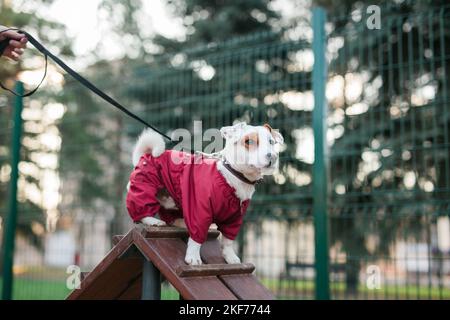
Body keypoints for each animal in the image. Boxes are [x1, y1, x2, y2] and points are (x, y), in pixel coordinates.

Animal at [125, 122, 284, 264]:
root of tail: (146, 155)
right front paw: (193, 257)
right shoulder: (199, 211)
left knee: (169, 215)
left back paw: (180, 222)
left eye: (271, 142)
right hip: (145, 186)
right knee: (141, 209)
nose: (272, 156)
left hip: (171, 200)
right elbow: (196, 238)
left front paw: (230, 257)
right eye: (249, 141)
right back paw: (153, 221)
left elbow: (228, 241)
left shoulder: (234, 219)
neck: (233, 175)